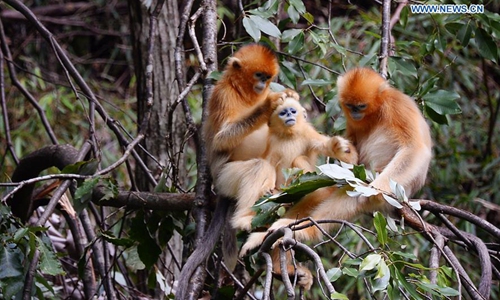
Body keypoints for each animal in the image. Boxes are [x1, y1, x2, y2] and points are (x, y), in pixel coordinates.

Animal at [240, 67, 432, 290]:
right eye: (350, 106)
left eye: (361, 106)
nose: (356, 113)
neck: (376, 111)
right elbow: (352, 151)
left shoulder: (398, 106)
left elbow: (413, 149)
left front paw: (373, 187)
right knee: (322, 190)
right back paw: (280, 235)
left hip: (392, 194)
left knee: (353, 194)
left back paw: (305, 232)